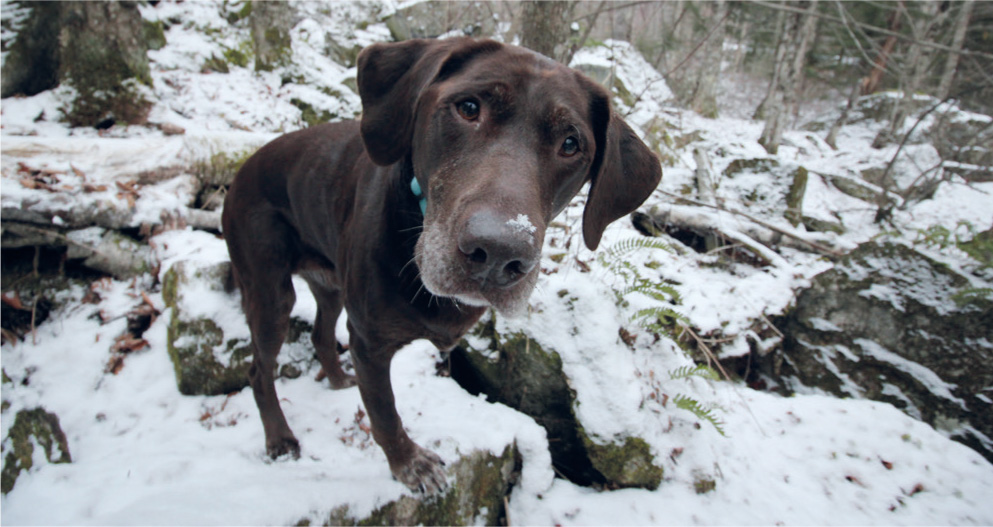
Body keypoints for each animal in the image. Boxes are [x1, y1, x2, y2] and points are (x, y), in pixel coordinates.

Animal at [221, 38, 664, 496]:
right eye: (468, 108)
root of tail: (241, 169)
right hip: (269, 291)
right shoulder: (369, 342)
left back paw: (338, 380)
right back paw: (279, 437)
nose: (497, 254)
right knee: (259, 369)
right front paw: (409, 464)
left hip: (331, 285)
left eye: (571, 145)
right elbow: (384, 412)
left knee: (321, 334)